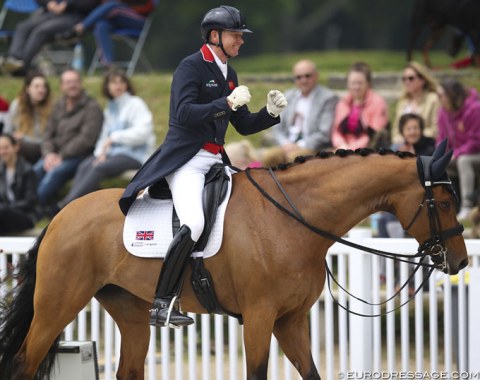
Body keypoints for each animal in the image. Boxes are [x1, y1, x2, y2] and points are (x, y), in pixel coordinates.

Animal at [0, 144, 468, 378]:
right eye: (445, 202)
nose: (461, 263)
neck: (295, 217)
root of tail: (61, 213)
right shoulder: (260, 317)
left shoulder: (291, 320)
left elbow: (312, 373)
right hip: (58, 305)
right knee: (24, 362)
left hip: (130, 312)